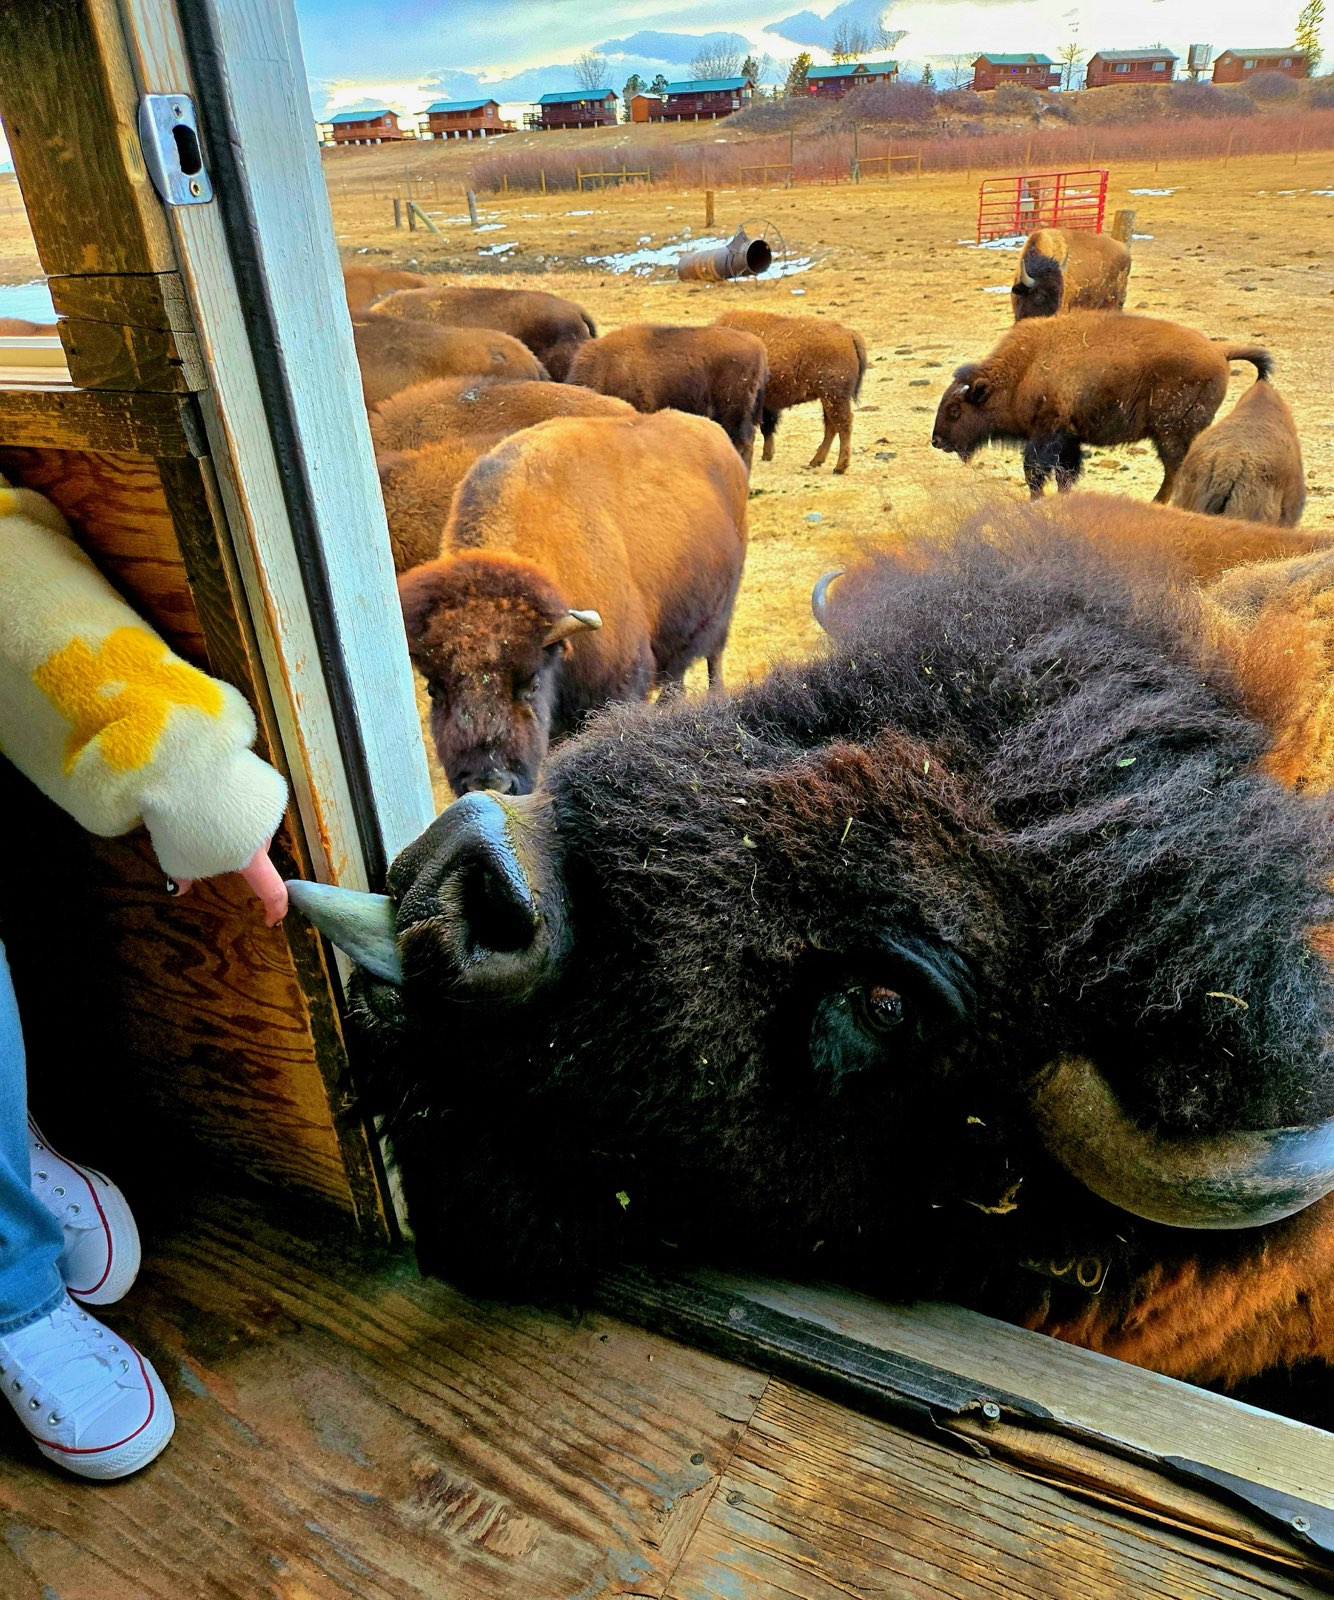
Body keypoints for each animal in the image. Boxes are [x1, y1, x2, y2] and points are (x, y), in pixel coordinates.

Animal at [932, 312, 1271, 500]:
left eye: (955, 410)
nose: (936, 441)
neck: (1024, 369)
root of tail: (1219, 351)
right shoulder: (1068, 438)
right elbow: (1065, 474)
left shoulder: (1046, 435)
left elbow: (1036, 473)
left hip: (1172, 434)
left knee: (1176, 470)